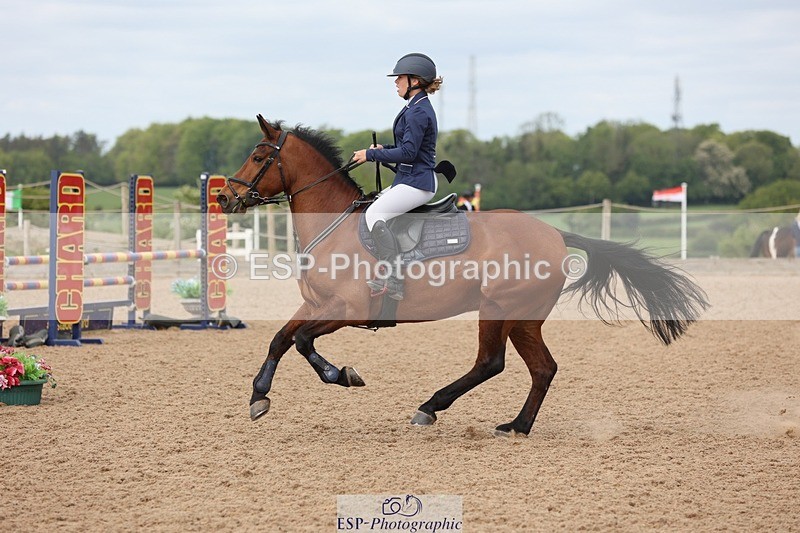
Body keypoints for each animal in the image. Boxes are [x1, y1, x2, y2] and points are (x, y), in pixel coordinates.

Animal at [216, 115, 709, 436]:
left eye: (258, 155)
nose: (225, 198)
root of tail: (553, 232)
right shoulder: (317, 305)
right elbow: (280, 339)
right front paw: (259, 396)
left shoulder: (347, 309)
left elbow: (302, 342)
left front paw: (344, 374)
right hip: (524, 318)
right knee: (542, 368)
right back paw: (517, 426)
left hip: (497, 307)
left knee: (491, 363)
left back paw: (430, 408)